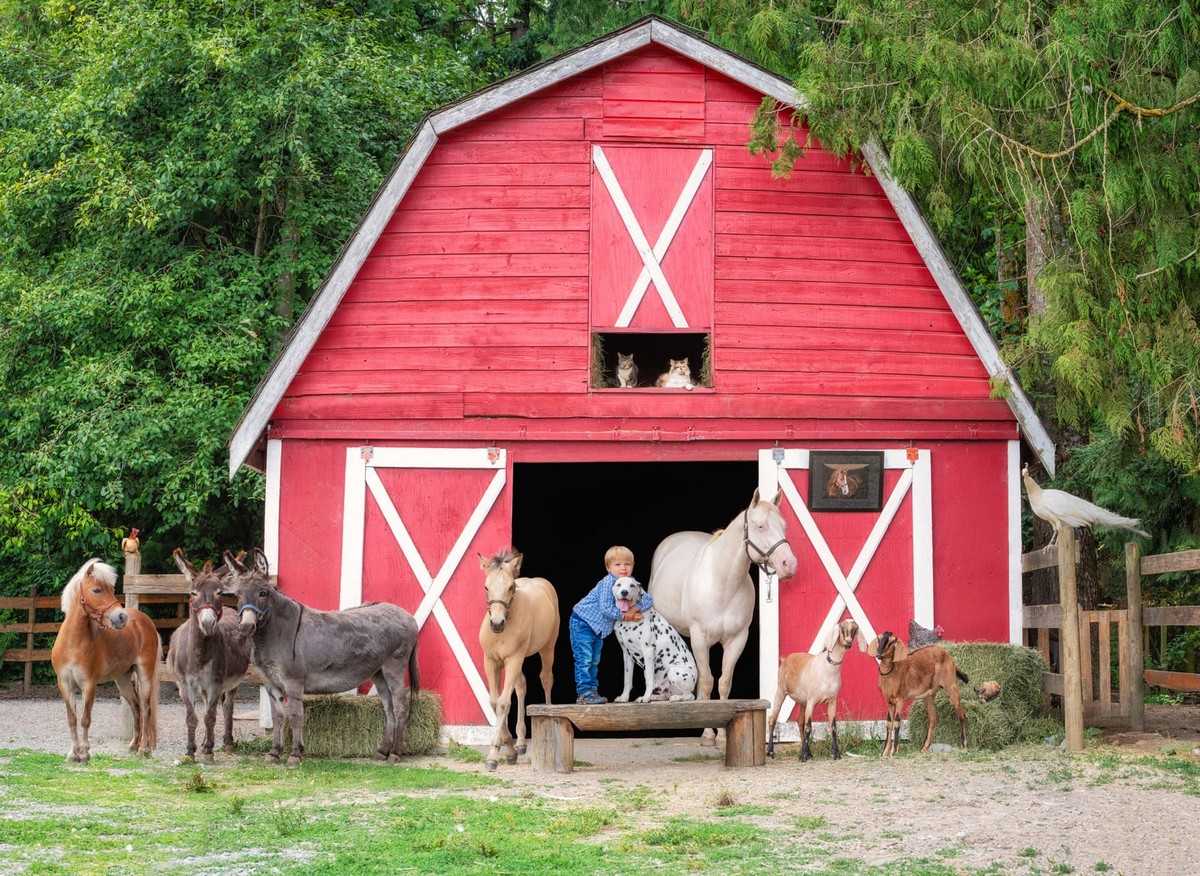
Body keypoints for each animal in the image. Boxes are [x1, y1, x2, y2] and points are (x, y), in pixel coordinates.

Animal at [50, 559, 159, 758]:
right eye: (96, 590)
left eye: (111, 588)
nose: (121, 616)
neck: (73, 643)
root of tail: (144, 620)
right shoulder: (65, 685)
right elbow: (72, 719)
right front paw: (73, 754)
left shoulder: (89, 684)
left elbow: (85, 719)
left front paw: (84, 753)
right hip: (122, 679)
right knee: (136, 706)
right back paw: (133, 745)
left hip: (144, 673)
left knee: (146, 707)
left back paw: (144, 748)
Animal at [165, 552, 249, 758]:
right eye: (193, 593)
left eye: (219, 593)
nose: (208, 623)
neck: (198, 654)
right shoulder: (184, 685)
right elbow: (192, 717)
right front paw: (191, 750)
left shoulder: (216, 684)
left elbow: (210, 717)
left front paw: (209, 750)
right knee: (205, 707)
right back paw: (203, 742)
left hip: (232, 683)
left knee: (227, 708)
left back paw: (227, 742)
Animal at [223, 547, 420, 763]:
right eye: (237, 595)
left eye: (263, 593)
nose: (246, 628)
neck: (276, 633)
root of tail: (409, 616)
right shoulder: (270, 683)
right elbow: (278, 718)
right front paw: (274, 753)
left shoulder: (293, 682)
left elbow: (295, 716)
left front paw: (295, 754)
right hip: (379, 672)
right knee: (389, 708)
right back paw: (382, 751)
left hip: (394, 667)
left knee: (401, 707)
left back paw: (395, 753)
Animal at [475, 549, 559, 768]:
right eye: (486, 586)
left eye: (511, 586)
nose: (497, 623)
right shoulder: (491, 662)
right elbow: (495, 702)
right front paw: (509, 747)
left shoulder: (513, 659)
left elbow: (504, 703)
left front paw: (493, 755)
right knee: (521, 686)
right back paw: (520, 741)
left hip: (547, 648)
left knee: (546, 679)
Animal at [648, 487, 796, 739]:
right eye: (760, 526)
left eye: (785, 525)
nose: (789, 564)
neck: (723, 583)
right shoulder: (700, 638)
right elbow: (708, 682)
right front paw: (708, 734)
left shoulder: (737, 639)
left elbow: (724, 682)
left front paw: (722, 735)